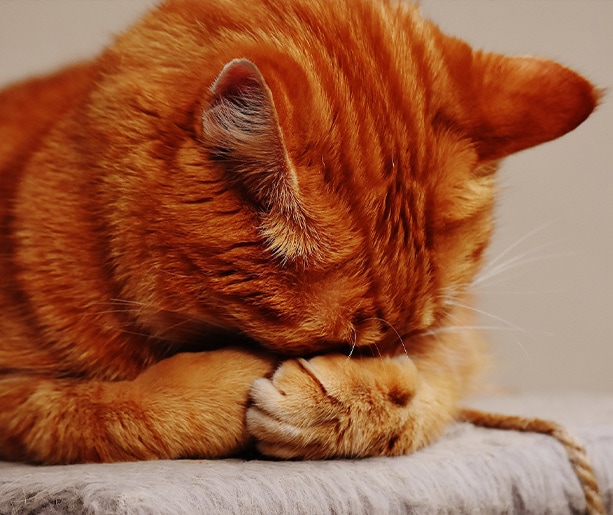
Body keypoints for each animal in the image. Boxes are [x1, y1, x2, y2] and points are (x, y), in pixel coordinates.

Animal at [0, 0, 596, 466]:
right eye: (335, 343)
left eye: (406, 339)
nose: (378, 362)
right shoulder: (19, 397)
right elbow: (98, 409)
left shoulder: (459, 339)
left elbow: (432, 388)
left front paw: (355, 402)